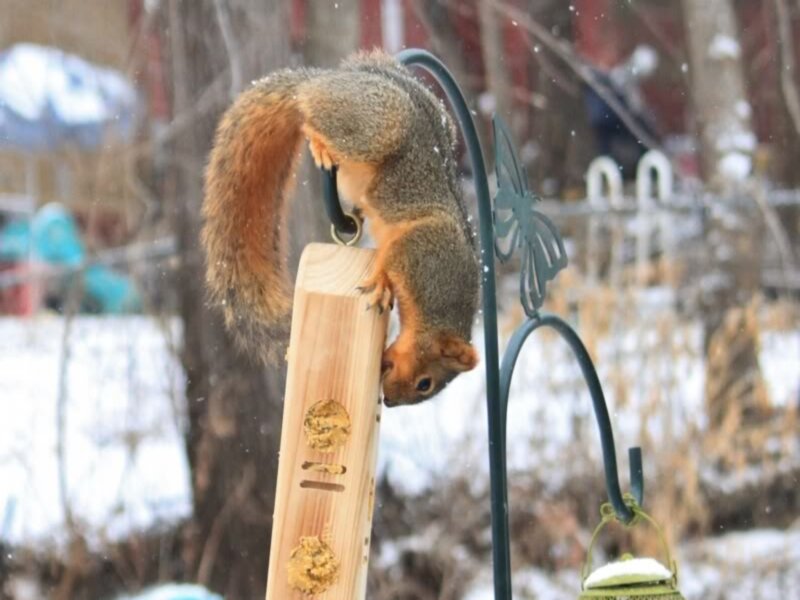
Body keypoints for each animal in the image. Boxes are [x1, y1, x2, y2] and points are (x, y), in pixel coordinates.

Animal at [201, 50, 479, 406]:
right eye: (425, 383)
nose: (389, 401)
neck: (438, 309)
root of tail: (322, 79)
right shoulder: (425, 250)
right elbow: (393, 258)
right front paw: (381, 282)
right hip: (379, 125)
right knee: (309, 114)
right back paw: (319, 142)